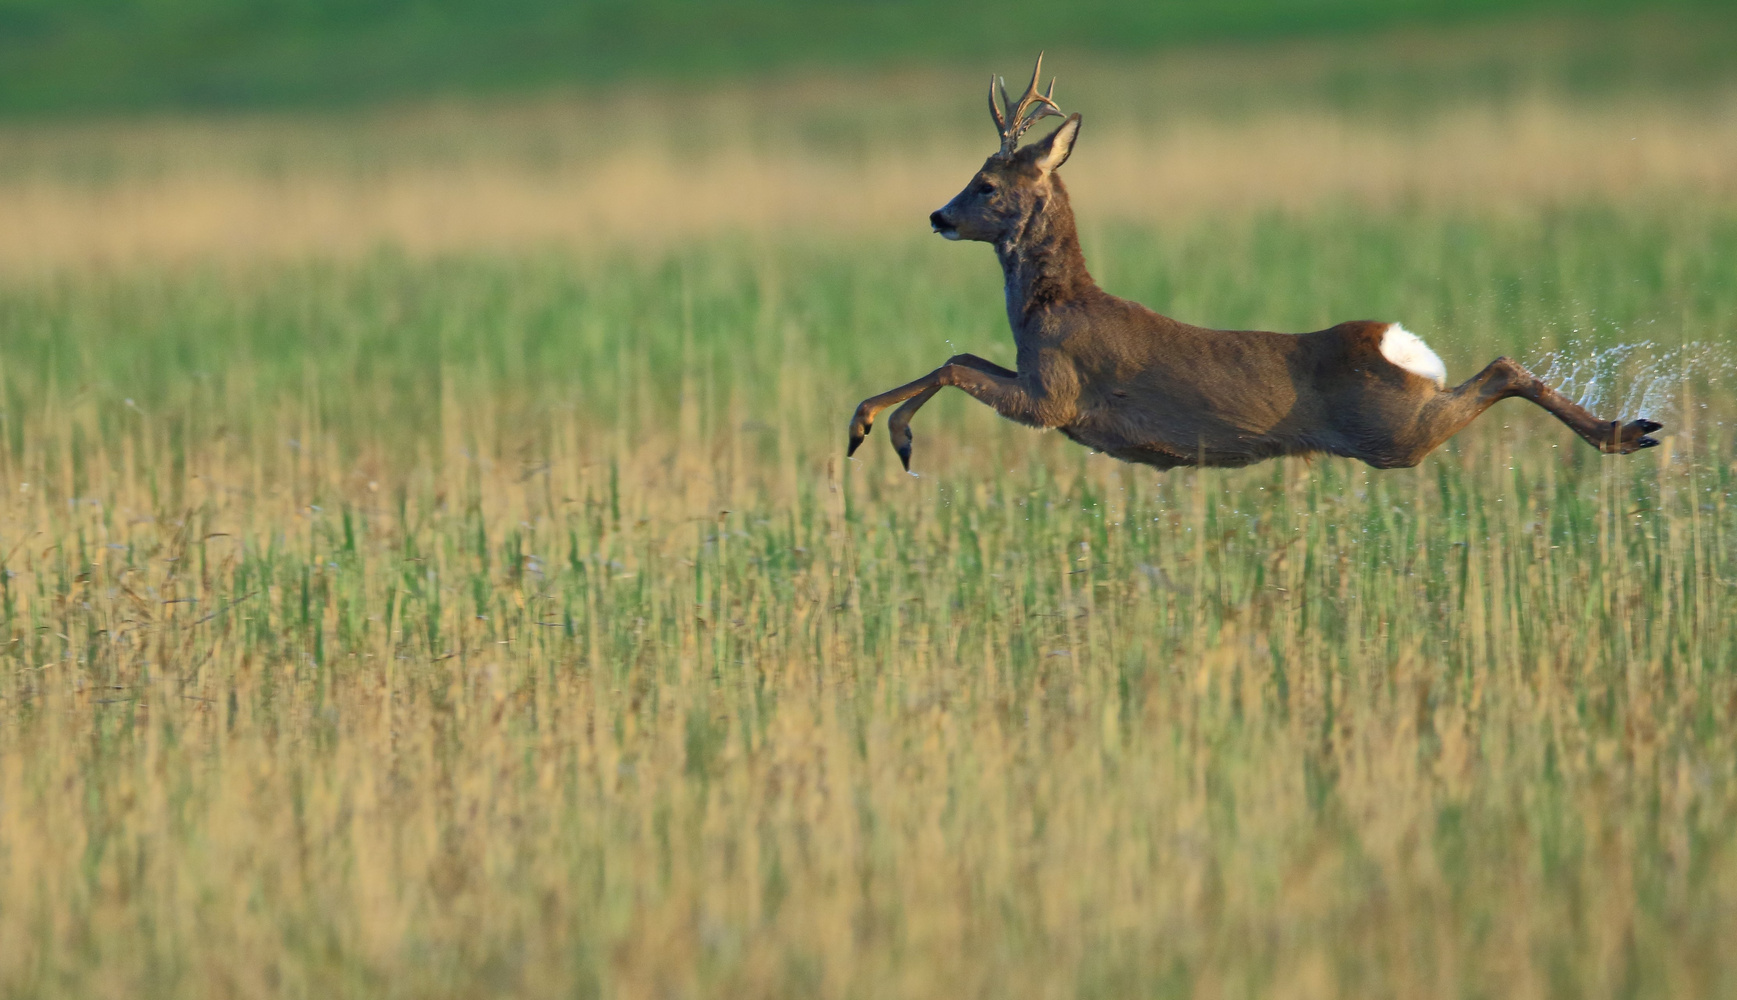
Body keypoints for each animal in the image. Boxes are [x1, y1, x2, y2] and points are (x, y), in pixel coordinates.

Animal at [847, 53, 1660, 472]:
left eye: (985, 185)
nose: (938, 216)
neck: (1049, 306)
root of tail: (1391, 341)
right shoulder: (1037, 384)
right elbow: (960, 356)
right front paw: (883, 432)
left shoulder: (1056, 395)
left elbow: (953, 365)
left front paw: (876, 431)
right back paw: (1631, 432)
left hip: (1393, 433)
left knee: (1498, 369)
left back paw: (1625, 433)